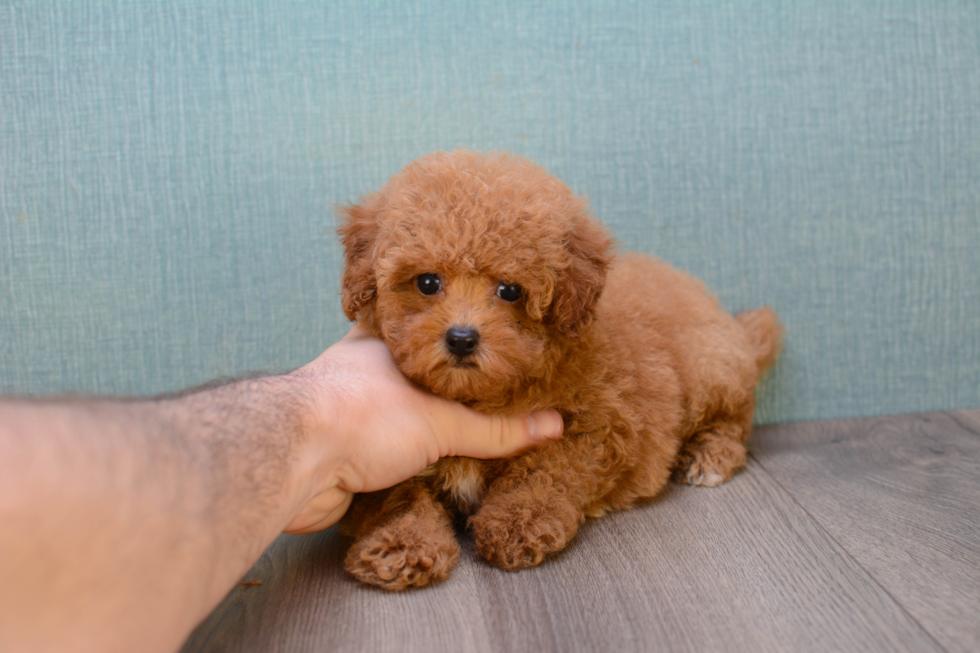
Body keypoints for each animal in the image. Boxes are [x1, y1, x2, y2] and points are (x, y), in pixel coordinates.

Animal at [336, 150, 780, 588]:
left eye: (510, 291)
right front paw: (401, 543)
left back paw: (711, 454)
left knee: (735, 417)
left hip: (709, 366)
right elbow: (399, 495)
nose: (462, 338)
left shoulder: (601, 426)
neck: (480, 396)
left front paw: (517, 523)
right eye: (427, 283)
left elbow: (546, 471)